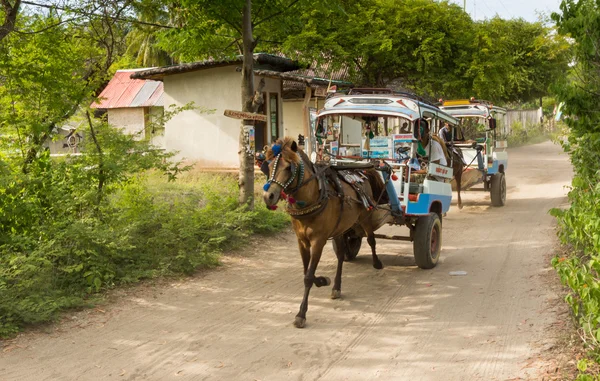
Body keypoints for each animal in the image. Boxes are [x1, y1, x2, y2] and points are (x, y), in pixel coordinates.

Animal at [262, 137, 390, 326]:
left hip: (365, 217)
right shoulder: (302, 241)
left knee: (371, 240)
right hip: (340, 227)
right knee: (341, 254)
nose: (268, 196)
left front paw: (301, 313)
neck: (312, 199)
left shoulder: (318, 241)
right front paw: (322, 280)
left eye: (288, 167)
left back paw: (376, 263)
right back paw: (336, 286)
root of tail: (361, 171)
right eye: (269, 165)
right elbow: (306, 271)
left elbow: (308, 276)